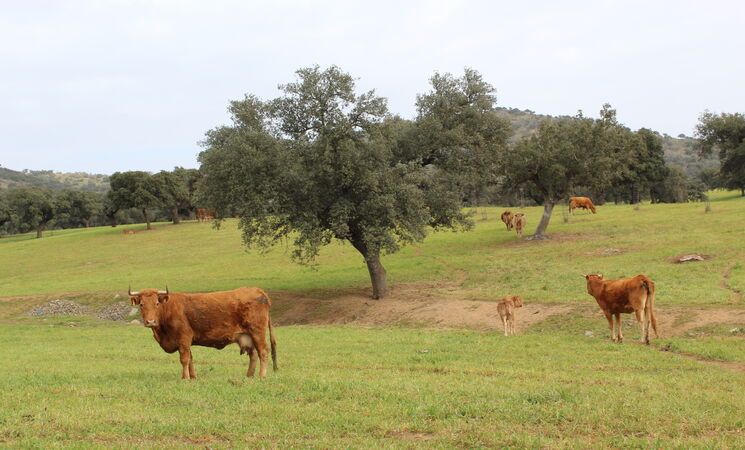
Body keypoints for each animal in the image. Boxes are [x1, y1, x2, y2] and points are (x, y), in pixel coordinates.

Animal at [129, 286, 278, 378]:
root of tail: (258, 291)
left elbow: (184, 359)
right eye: (142, 304)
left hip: (257, 333)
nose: (150, 321)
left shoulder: (184, 339)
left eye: (157, 304)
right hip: (248, 336)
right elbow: (190, 359)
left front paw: (185, 377)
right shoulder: (185, 343)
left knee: (263, 351)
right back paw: (249, 376)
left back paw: (262, 376)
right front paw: (193, 376)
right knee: (253, 354)